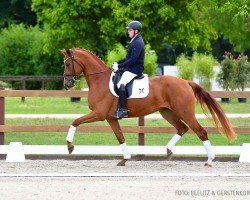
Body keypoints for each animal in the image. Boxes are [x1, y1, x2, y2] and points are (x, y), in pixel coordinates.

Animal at [62, 48, 236, 166]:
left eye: (68, 63)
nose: (67, 83)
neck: (100, 80)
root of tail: (185, 82)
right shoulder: (111, 118)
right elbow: (120, 137)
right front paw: (125, 159)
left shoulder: (99, 114)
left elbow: (75, 122)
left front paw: (70, 146)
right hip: (167, 112)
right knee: (182, 128)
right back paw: (168, 151)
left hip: (184, 112)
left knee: (200, 131)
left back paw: (210, 160)